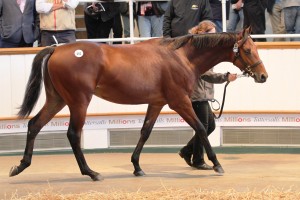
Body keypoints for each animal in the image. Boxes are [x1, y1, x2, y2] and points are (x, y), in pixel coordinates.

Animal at [8, 27, 268, 181]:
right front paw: (216, 164)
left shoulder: (157, 103)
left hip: (57, 99)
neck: (180, 57)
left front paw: (136, 166)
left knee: (34, 125)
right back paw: (90, 172)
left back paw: (21, 166)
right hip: (78, 101)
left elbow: (145, 132)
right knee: (73, 134)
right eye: (247, 50)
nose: (263, 76)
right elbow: (201, 129)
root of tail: (55, 49)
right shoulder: (179, 102)